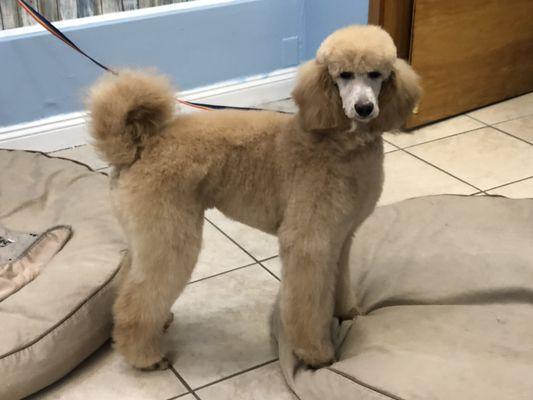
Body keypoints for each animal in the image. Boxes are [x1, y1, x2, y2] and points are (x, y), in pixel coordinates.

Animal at [88, 24, 420, 368]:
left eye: (376, 74)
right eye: (343, 75)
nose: (364, 108)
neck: (341, 142)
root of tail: (137, 148)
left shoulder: (340, 237)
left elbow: (339, 282)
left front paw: (347, 313)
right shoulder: (310, 242)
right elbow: (308, 305)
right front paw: (317, 354)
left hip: (145, 233)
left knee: (129, 280)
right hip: (168, 233)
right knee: (138, 297)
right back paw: (144, 356)